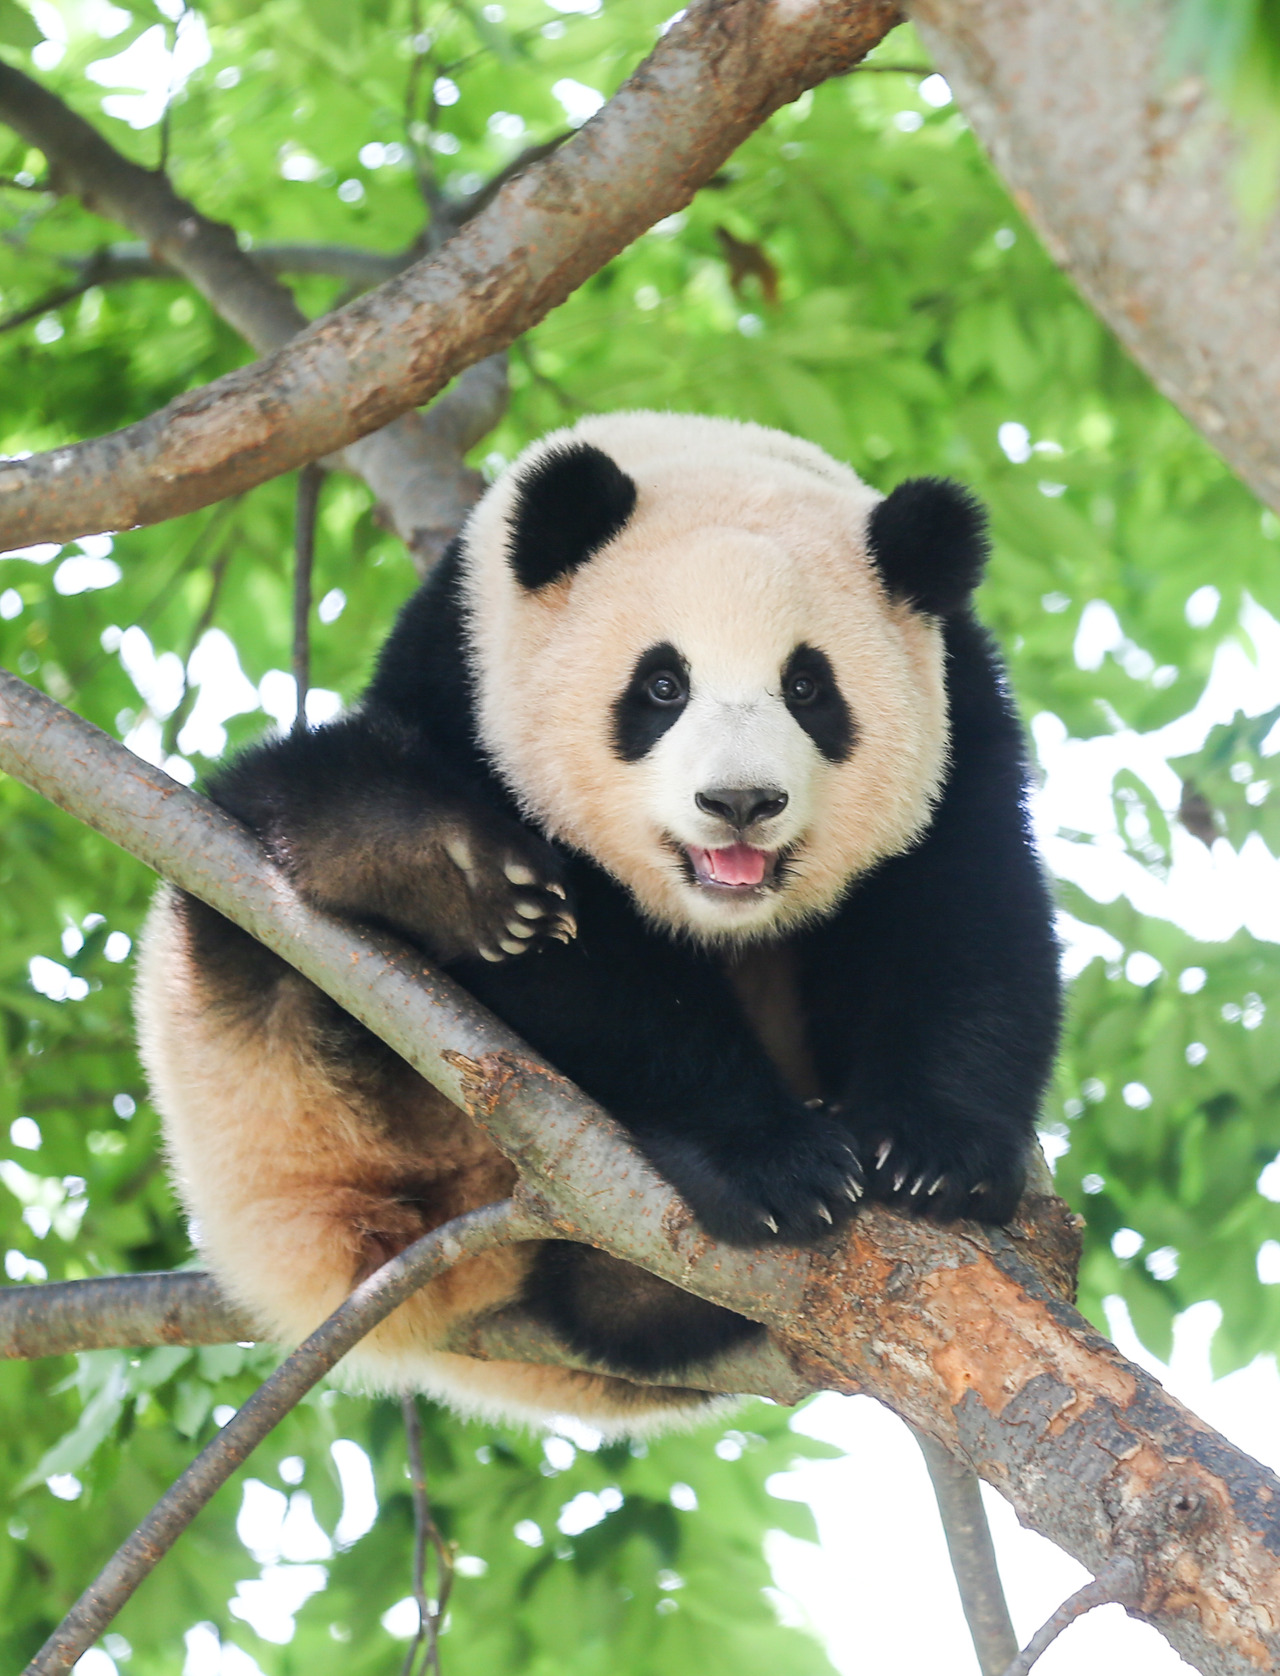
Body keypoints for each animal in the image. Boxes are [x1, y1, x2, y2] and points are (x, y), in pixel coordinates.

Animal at [134, 412, 1065, 1434]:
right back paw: (422, 863)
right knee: (267, 851)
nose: (741, 803)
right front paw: (775, 1167)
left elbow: (964, 916)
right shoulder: (468, 678)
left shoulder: (962, 712)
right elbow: (591, 984)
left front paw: (936, 1156)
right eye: (662, 686)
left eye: (809, 689)